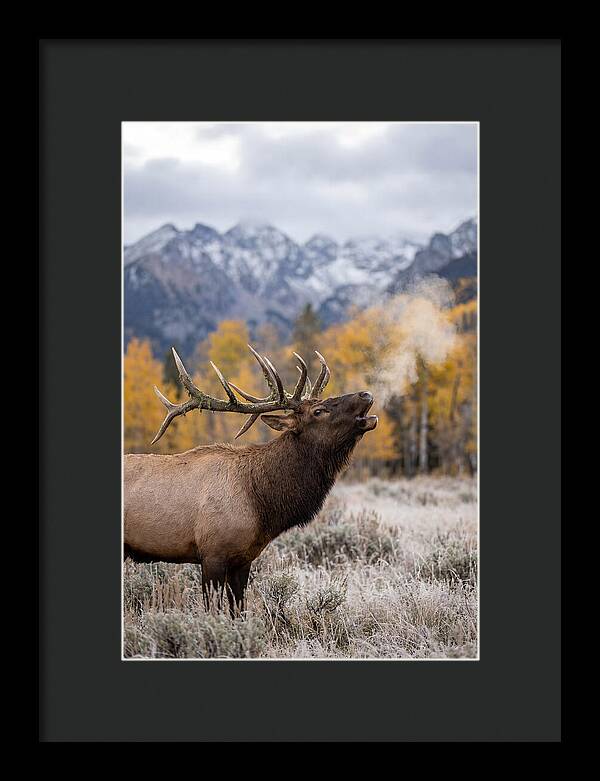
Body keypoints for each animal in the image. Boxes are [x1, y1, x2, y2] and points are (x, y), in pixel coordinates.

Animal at [124, 344, 378, 615]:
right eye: (318, 411)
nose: (365, 394)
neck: (261, 504)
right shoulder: (212, 553)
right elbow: (213, 611)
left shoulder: (243, 560)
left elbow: (239, 610)